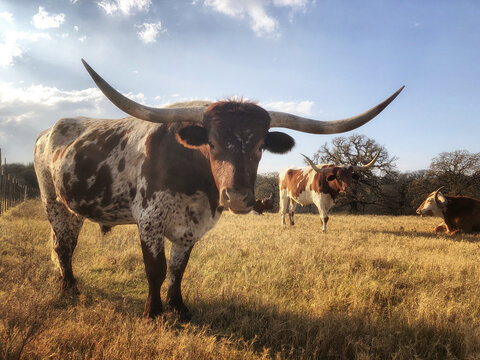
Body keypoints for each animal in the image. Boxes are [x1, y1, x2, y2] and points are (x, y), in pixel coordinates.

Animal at [32, 59, 402, 320]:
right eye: (211, 143)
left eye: (260, 146)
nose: (237, 197)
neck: (194, 181)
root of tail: (48, 131)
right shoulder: (149, 219)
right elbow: (156, 268)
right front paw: (153, 312)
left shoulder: (192, 226)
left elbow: (178, 270)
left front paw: (179, 308)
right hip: (52, 201)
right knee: (62, 245)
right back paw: (69, 288)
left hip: (73, 208)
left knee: (66, 244)